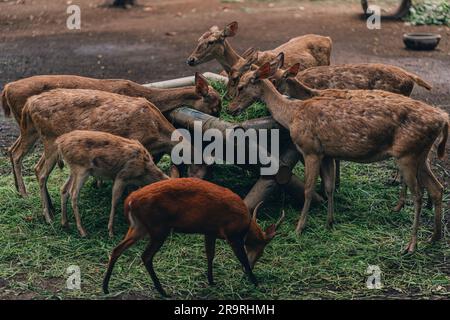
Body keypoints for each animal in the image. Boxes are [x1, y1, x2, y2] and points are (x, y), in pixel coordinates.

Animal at [4, 73, 216, 196]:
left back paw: (19, 190)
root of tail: (6, 90)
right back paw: (25, 193)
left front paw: (97, 184)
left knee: (12, 149)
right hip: (29, 128)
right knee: (17, 153)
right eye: (215, 105)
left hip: (28, 128)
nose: (218, 114)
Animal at [16, 88, 202, 225]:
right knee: (41, 172)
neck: (157, 133)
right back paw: (48, 216)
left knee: (37, 167)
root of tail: (28, 104)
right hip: (50, 138)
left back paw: (51, 209)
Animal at [103, 178, 284, 296]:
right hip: (158, 229)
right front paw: (256, 282)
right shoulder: (232, 235)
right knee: (145, 256)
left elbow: (210, 255)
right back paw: (163, 291)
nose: (254, 264)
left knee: (117, 249)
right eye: (262, 249)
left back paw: (105, 287)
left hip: (139, 227)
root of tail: (129, 201)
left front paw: (211, 281)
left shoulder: (210, 231)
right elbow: (242, 259)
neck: (245, 224)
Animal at [230, 62, 448, 252]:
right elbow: (328, 186)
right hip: (420, 155)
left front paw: (299, 228)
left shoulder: (311, 150)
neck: (292, 114)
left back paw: (411, 244)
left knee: (418, 195)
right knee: (437, 188)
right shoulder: (327, 153)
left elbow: (309, 189)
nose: (231, 108)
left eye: (240, 86)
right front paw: (329, 222)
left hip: (407, 154)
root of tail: (443, 119)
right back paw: (434, 237)